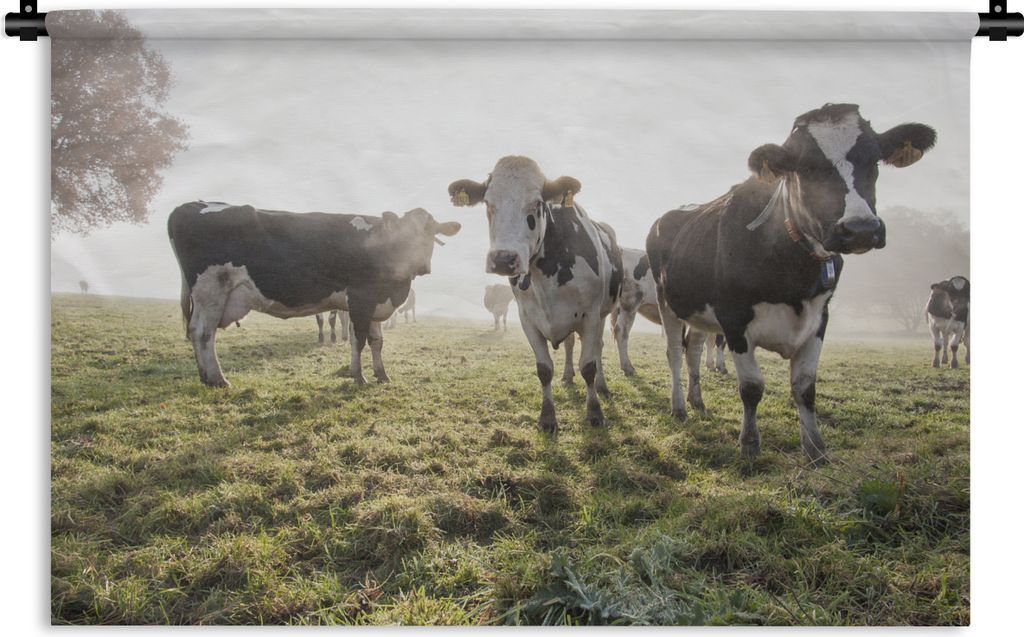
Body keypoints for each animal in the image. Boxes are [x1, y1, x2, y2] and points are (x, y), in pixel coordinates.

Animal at [168, 202, 460, 387]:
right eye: (405, 233)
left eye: (431, 234)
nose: (422, 266)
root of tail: (191, 205)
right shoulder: (360, 299)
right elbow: (359, 340)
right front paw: (359, 377)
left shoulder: (377, 302)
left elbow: (377, 342)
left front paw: (382, 375)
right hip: (211, 289)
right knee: (203, 333)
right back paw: (217, 379)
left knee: (197, 332)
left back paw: (206, 376)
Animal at [449, 156, 623, 433]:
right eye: (487, 202)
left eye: (538, 203)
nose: (503, 259)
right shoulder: (527, 318)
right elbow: (544, 369)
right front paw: (547, 418)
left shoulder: (591, 315)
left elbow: (588, 366)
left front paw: (595, 413)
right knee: (570, 345)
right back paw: (567, 376)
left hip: (605, 312)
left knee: (597, 347)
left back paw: (602, 386)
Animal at [647, 103, 936, 464]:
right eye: (806, 167)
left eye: (873, 159)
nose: (860, 229)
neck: (792, 270)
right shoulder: (734, 318)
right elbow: (752, 387)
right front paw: (749, 444)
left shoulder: (819, 318)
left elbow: (805, 387)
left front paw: (815, 448)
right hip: (667, 302)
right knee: (674, 351)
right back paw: (679, 407)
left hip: (699, 311)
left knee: (694, 350)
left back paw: (697, 400)